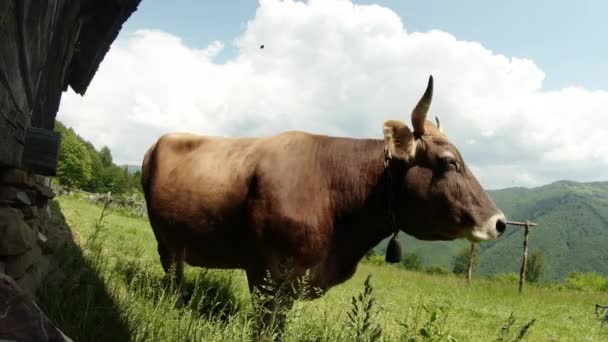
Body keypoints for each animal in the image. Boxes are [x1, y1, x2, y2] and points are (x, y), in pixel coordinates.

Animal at [140, 75, 506, 304]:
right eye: (449, 162)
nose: (499, 222)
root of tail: (162, 139)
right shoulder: (267, 271)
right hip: (165, 239)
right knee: (173, 272)